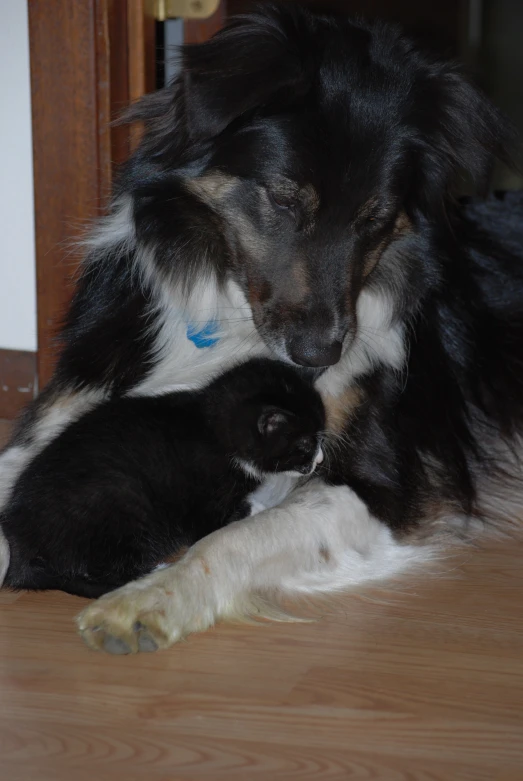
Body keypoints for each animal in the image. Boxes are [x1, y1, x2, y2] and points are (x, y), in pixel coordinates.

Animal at [2, 360, 326, 596]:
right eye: (304, 445)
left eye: (320, 436)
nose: (320, 460)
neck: (216, 429)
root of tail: (19, 550)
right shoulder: (204, 500)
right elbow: (214, 523)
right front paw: (258, 508)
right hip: (119, 500)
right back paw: (149, 572)